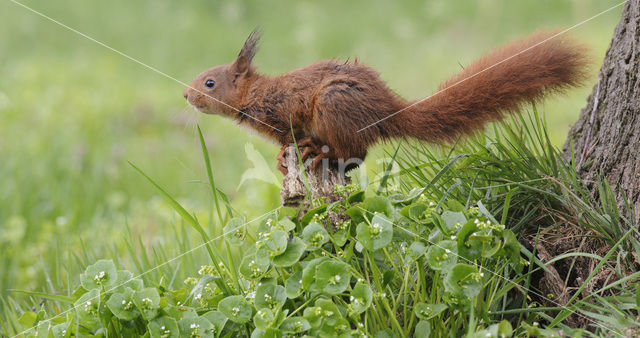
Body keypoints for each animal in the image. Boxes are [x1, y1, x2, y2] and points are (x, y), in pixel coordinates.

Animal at [182, 30, 588, 174]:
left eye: (210, 82)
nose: (186, 94)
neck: (255, 95)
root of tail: (388, 112)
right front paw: (283, 158)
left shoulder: (285, 111)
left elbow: (291, 133)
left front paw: (292, 151)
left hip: (333, 106)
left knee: (355, 152)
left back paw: (323, 154)